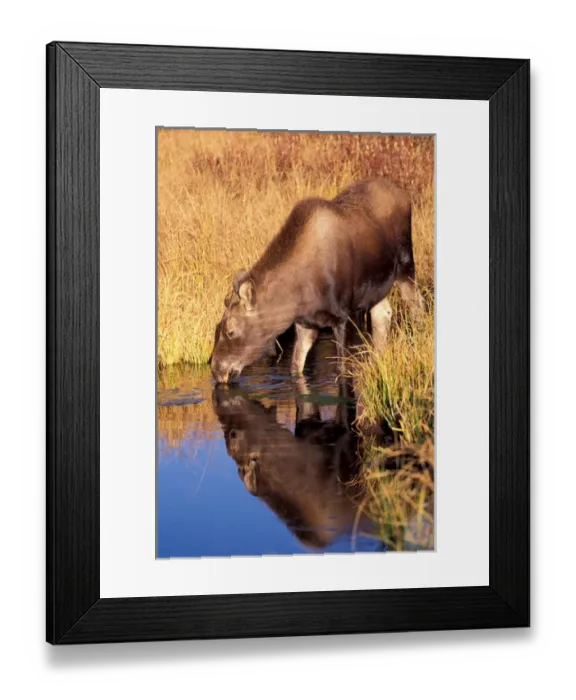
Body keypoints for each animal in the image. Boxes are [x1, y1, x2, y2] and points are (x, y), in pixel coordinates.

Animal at [210, 177, 424, 384]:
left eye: (230, 331)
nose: (216, 370)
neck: (298, 297)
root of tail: (404, 194)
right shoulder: (305, 324)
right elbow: (295, 368)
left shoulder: (343, 316)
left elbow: (342, 369)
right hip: (377, 286)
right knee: (383, 313)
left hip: (406, 265)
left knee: (417, 304)